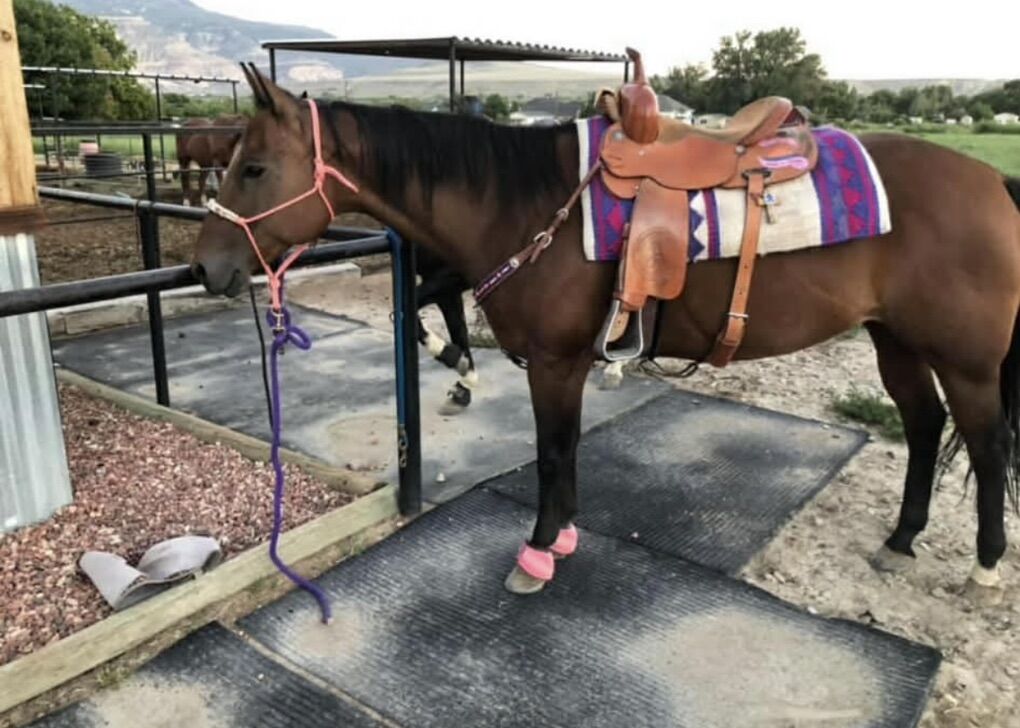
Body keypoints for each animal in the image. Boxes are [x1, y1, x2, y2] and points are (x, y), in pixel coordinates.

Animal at [192, 66, 1020, 602]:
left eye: (255, 167)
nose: (205, 265)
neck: (529, 204)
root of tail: (992, 182)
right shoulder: (566, 363)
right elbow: (564, 450)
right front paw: (560, 538)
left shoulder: (554, 363)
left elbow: (553, 453)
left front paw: (536, 554)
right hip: (895, 342)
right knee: (924, 427)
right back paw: (902, 538)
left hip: (967, 362)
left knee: (984, 446)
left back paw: (983, 568)